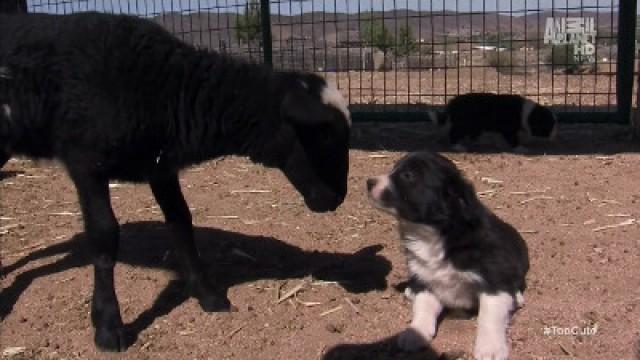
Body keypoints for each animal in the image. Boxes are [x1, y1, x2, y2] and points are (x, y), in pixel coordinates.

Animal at [0, 11, 350, 352]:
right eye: (325, 134)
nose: (337, 198)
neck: (167, 87)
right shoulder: (86, 163)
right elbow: (104, 235)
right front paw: (109, 327)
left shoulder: (161, 166)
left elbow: (181, 222)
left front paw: (207, 295)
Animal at [364, 153, 528, 360]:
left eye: (408, 175)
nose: (369, 182)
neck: (433, 235)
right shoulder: (426, 278)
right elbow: (423, 307)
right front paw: (415, 333)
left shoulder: (494, 276)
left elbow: (489, 315)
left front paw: (490, 348)